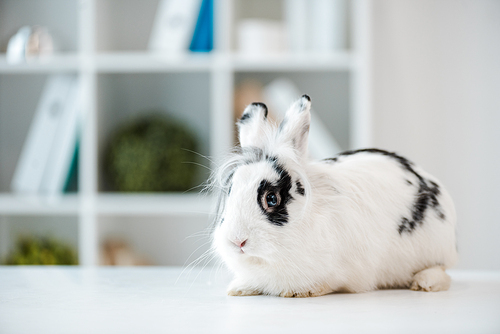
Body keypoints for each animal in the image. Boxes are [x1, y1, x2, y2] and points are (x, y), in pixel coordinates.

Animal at [211, 94, 458, 298]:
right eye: (231, 191)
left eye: (271, 198)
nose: (237, 240)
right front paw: (238, 288)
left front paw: (304, 291)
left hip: (435, 247)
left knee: (442, 270)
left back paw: (424, 283)